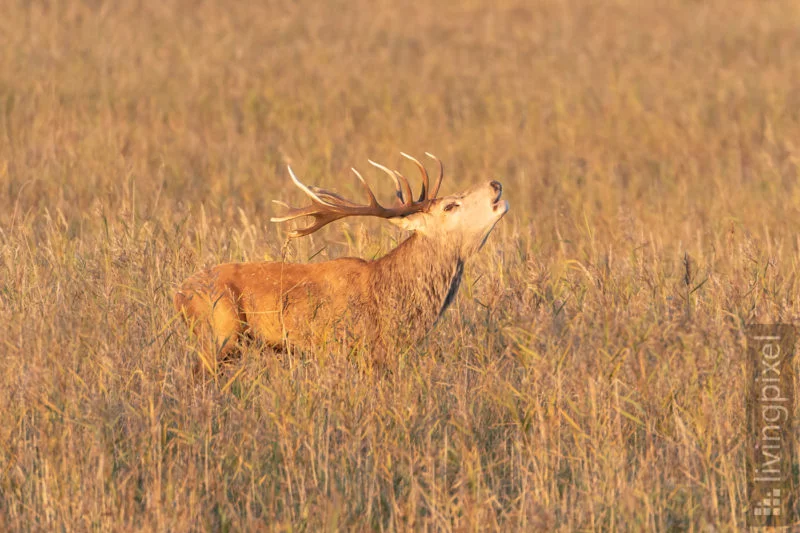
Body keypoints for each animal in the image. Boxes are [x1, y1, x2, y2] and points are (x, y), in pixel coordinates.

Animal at [174, 153, 509, 372]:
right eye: (451, 206)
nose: (495, 184)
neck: (389, 295)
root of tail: (178, 294)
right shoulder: (349, 346)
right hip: (220, 334)